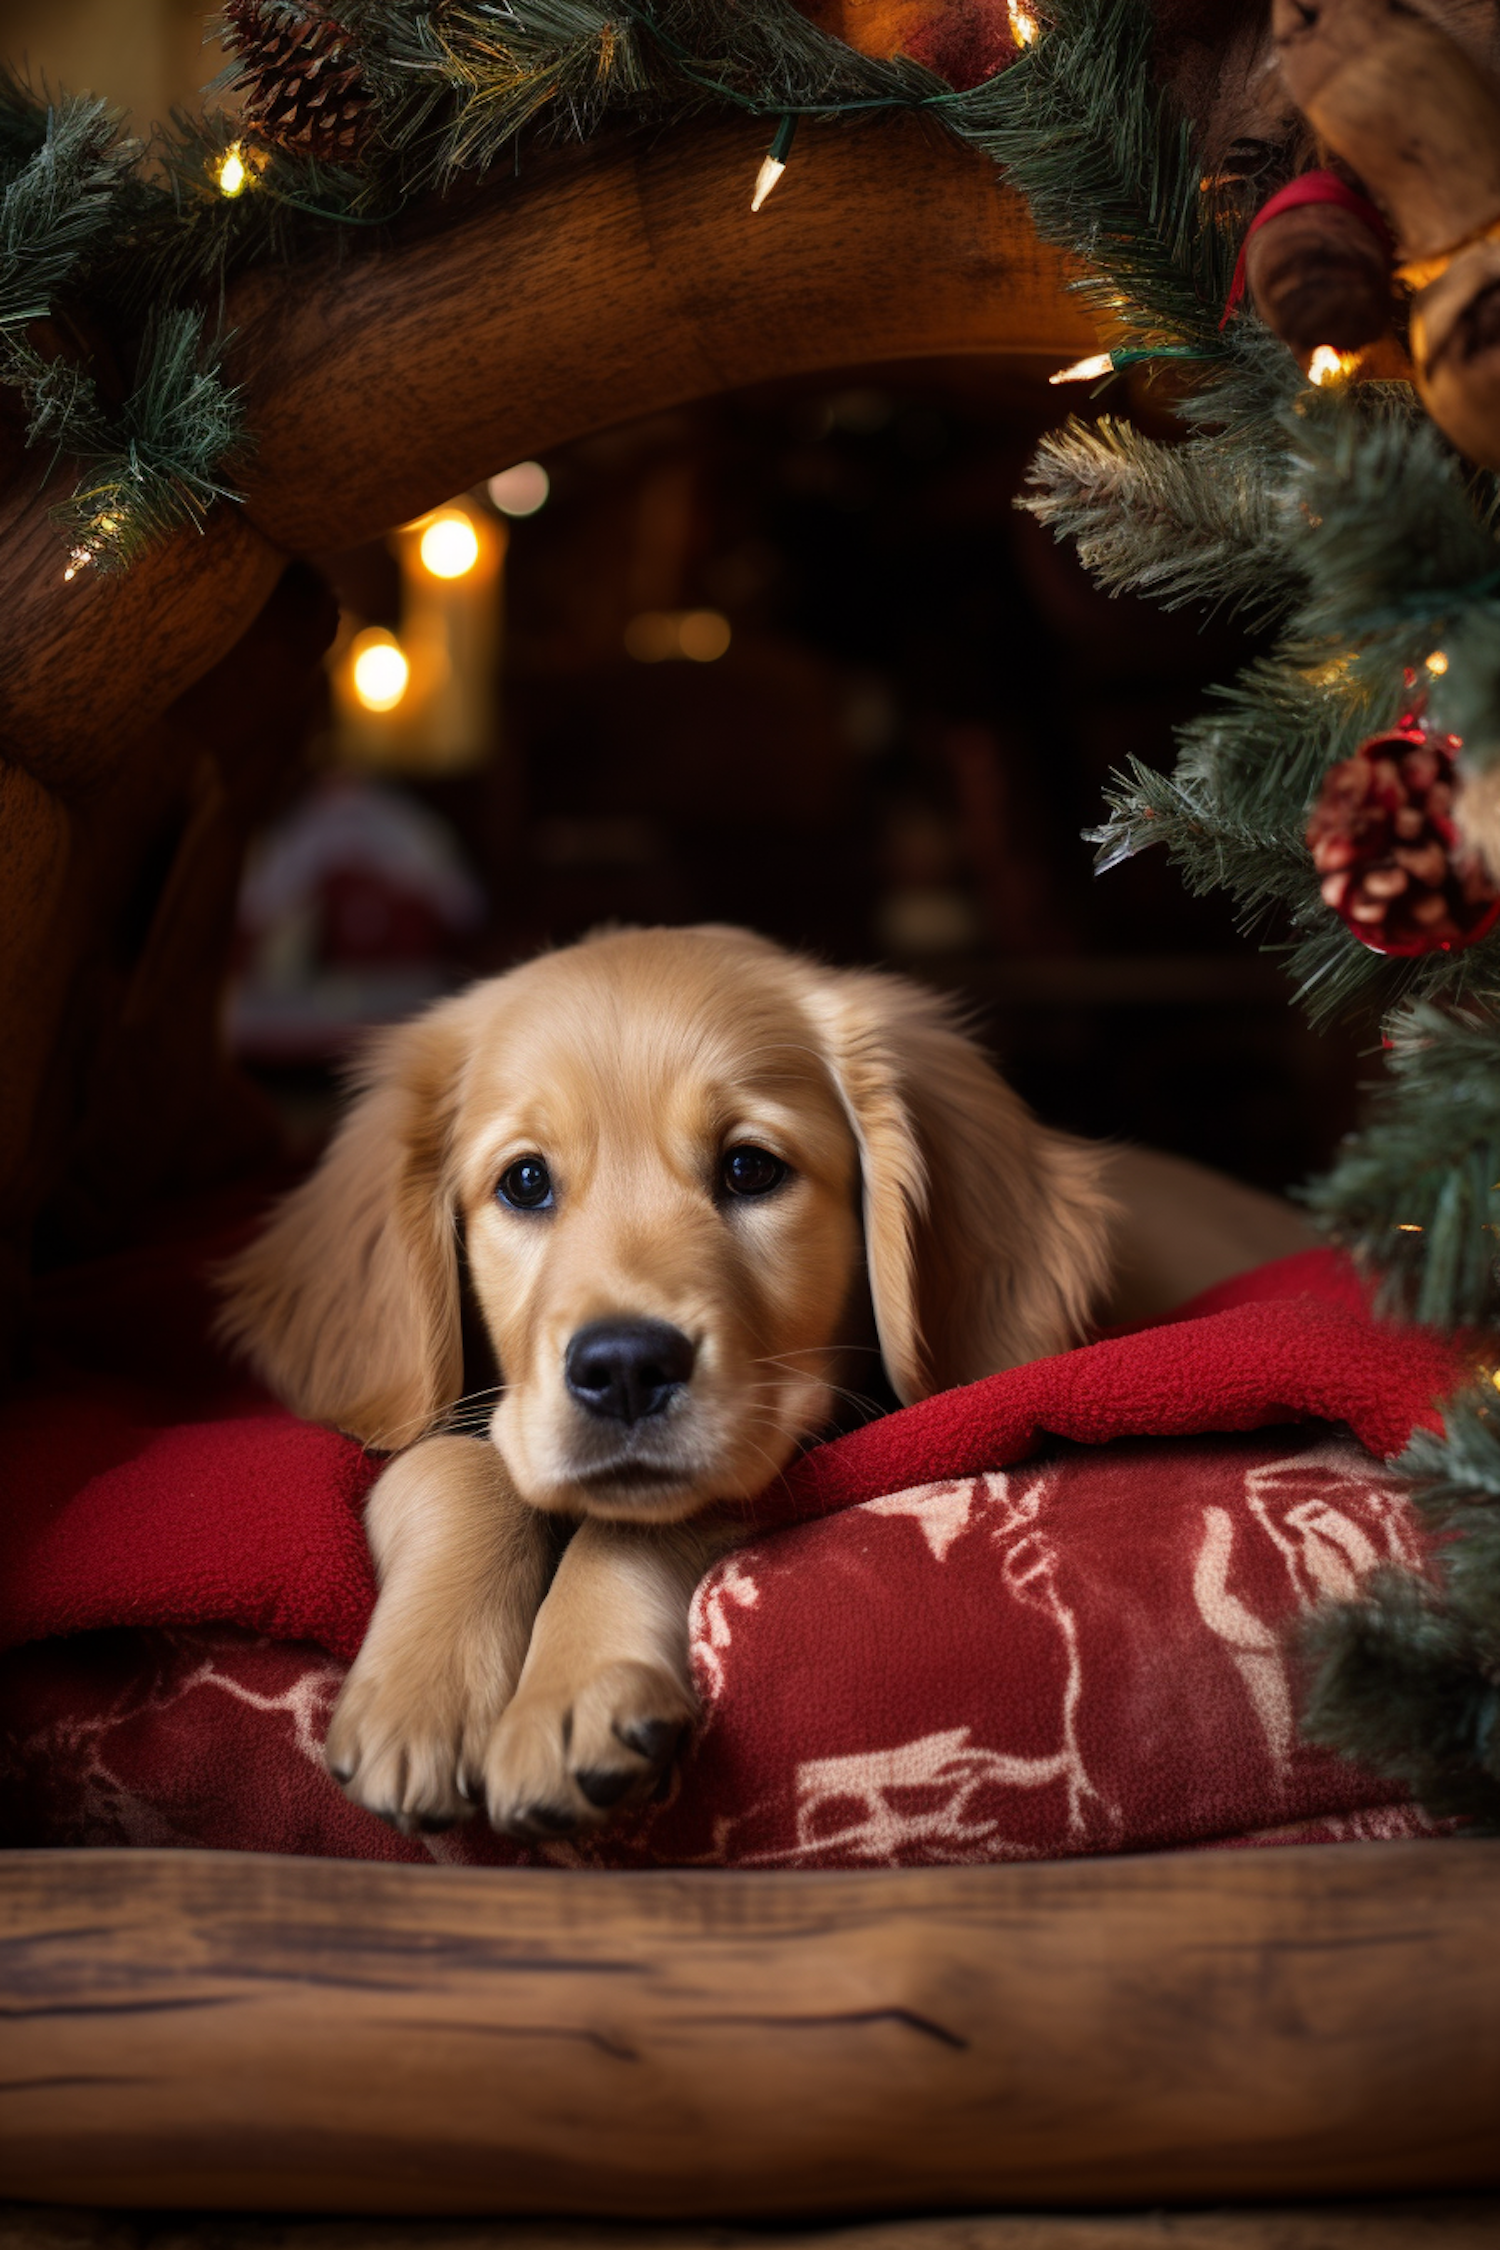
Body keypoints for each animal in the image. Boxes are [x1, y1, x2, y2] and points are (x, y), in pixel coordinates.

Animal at [220, 922, 1304, 1836]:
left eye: (750, 1169)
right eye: (524, 1182)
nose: (624, 1368)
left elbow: (646, 1517)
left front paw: (574, 1690)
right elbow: (452, 1462)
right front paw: (422, 1692)